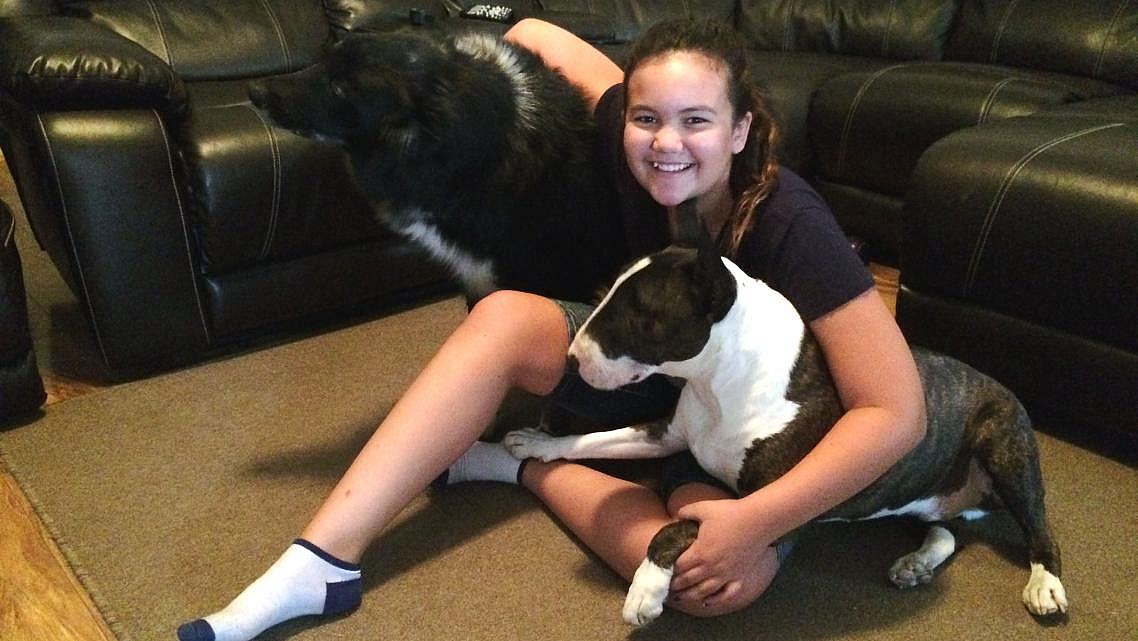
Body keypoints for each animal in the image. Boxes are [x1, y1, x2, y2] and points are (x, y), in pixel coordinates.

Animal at [502, 233, 1060, 623]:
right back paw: (917, 562)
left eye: (640, 314)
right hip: (907, 489)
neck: (719, 381)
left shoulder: (766, 507)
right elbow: (597, 439)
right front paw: (537, 441)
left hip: (1005, 450)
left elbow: (677, 526)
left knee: (1039, 528)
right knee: (945, 529)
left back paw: (1045, 586)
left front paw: (645, 590)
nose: (571, 361)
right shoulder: (667, 435)